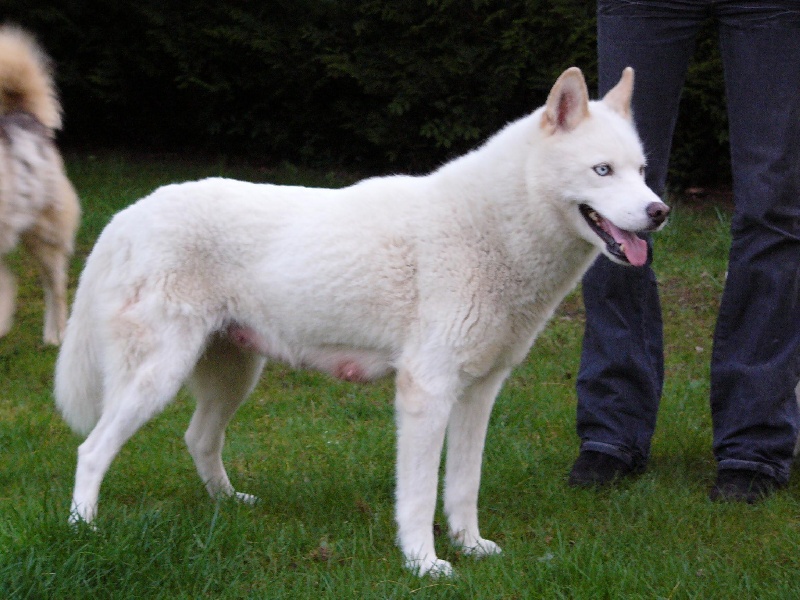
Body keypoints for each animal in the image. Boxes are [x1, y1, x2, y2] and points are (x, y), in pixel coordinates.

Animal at [55, 67, 669, 576]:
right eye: (602, 170)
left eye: (642, 172)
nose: (659, 212)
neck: (494, 232)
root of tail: (128, 215)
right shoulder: (426, 392)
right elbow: (418, 497)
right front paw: (424, 564)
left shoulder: (479, 394)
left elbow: (462, 487)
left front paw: (470, 547)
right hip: (157, 378)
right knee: (92, 450)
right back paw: (83, 530)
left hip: (234, 375)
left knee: (198, 438)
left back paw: (230, 506)